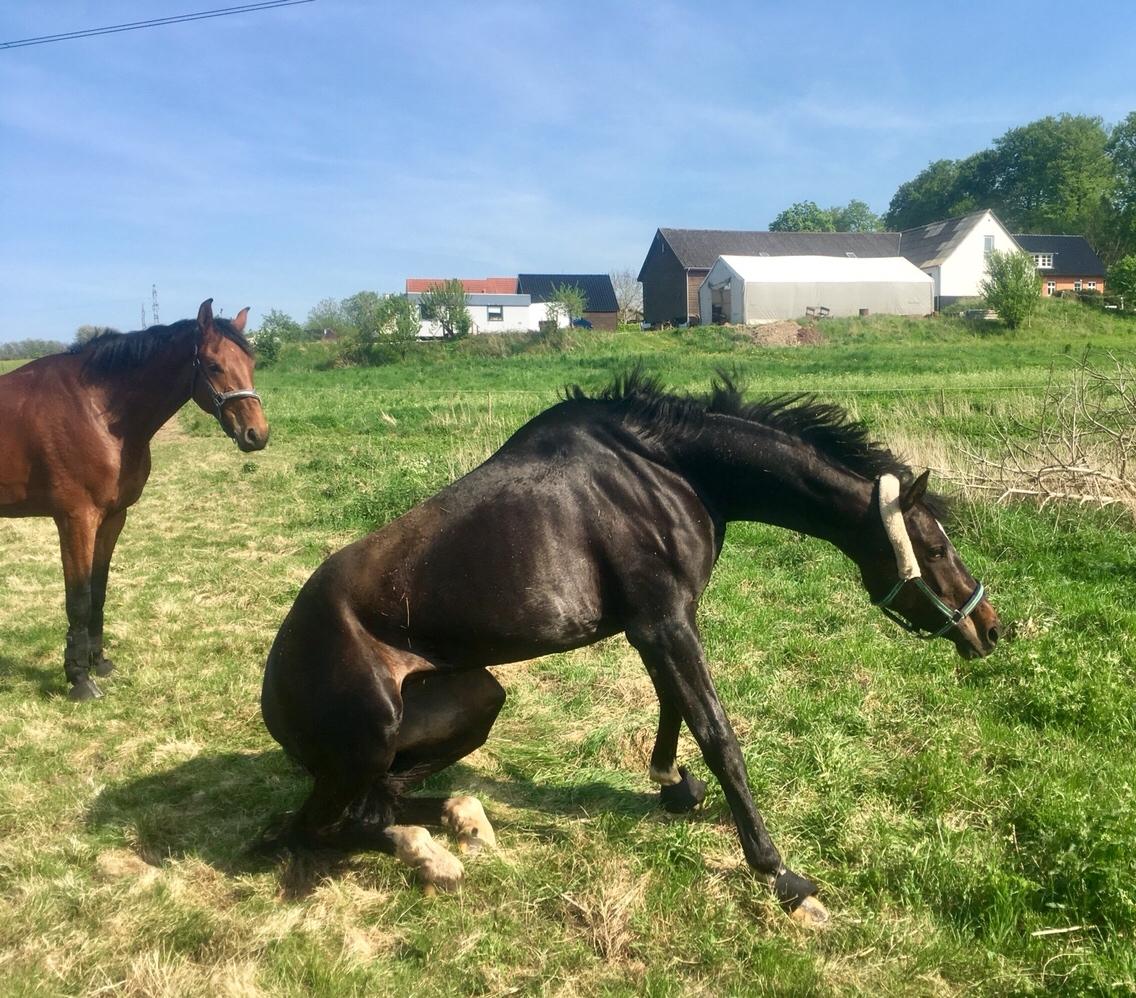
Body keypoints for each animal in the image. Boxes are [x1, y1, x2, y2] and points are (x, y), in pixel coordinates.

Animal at [1, 299, 269, 699]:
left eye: (251, 363)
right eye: (213, 365)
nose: (257, 434)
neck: (96, 411)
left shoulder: (113, 517)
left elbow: (98, 590)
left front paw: (99, 663)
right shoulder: (76, 519)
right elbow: (78, 598)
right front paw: (80, 680)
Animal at [255, 374, 995, 931]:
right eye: (934, 548)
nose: (990, 628)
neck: (664, 467)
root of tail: (274, 683)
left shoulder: (657, 624)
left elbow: (673, 706)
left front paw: (673, 784)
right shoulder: (664, 623)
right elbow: (717, 734)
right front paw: (782, 875)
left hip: (477, 699)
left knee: (380, 803)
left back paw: (461, 820)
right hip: (372, 740)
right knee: (313, 827)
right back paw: (430, 854)